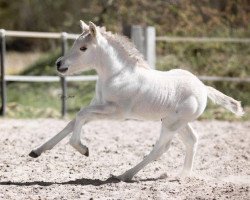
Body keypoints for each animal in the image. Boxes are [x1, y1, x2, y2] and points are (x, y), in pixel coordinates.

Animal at [28, 20, 243, 181]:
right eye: (74, 45)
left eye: (83, 48)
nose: (59, 64)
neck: (116, 76)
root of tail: (203, 87)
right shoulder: (97, 107)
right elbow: (72, 122)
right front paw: (37, 151)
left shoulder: (116, 113)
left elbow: (80, 115)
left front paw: (83, 149)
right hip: (176, 122)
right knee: (191, 140)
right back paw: (182, 175)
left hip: (172, 124)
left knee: (160, 149)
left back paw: (125, 175)